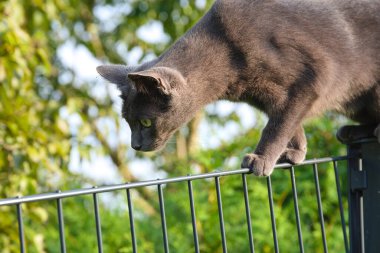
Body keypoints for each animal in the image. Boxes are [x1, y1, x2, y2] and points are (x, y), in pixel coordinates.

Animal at [97, 0, 380, 177]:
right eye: (127, 122)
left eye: (145, 122)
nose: (134, 145)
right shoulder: (268, 97)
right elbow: (288, 121)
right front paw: (295, 152)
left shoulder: (312, 77)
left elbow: (278, 125)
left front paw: (261, 159)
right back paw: (353, 131)